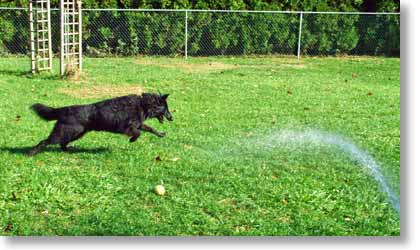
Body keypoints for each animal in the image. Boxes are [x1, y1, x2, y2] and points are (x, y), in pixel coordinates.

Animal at [27, 93, 172, 156]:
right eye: (165, 108)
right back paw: (31, 153)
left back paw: (68, 151)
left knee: (62, 144)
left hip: (76, 133)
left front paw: (161, 134)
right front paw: (132, 140)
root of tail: (64, 109)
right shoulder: (127, 127)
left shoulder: (138, 124)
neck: (143, 104)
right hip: (65, 133)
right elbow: (138, 133)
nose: (172, 118)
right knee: (45, 141)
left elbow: (151, 129)